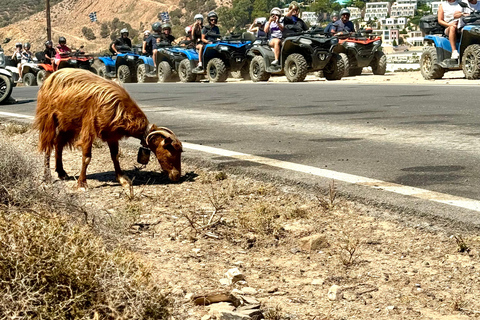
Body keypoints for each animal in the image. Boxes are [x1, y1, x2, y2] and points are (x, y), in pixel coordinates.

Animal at [33, 67, 183, 188]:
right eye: (170, 152)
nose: (177, 176)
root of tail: (51, 76)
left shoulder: (112, 133)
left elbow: (115, 156)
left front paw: (122, 179)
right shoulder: (88, 127)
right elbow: (86, 157)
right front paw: (82, 184)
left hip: (68, 124)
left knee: (58, 144)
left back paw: (62, 172)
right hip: (49, 119)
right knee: (48, 146)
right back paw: (47, 177)